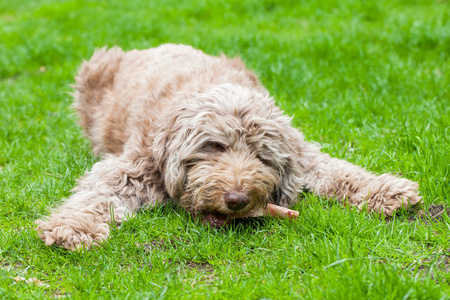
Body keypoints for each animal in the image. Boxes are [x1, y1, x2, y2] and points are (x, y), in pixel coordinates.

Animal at [35, 44, 422, 251]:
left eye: (261, 155)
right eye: (214, 147)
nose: (236, 200)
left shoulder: (300, 150)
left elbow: (337, 170)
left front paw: (385, 190)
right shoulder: (134, 166)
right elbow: (97, 194)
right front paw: (73, 227)